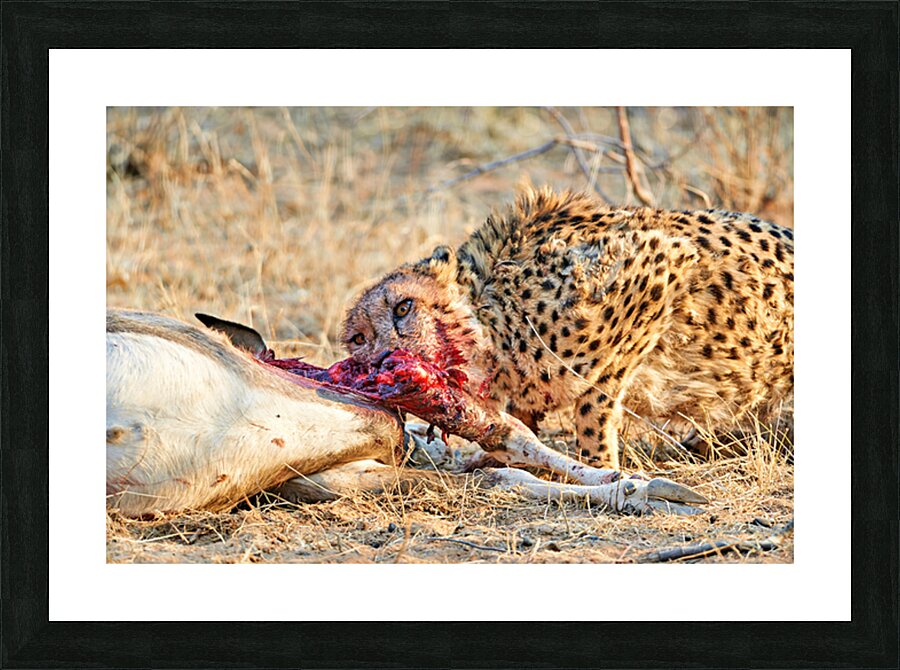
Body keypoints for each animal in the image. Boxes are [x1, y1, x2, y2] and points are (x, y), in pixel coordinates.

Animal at [341, 186, 794, 471]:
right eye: (359, 339)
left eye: (403, 307)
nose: (386, 359)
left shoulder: (658, 263)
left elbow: (596, 398)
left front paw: (599, 463)